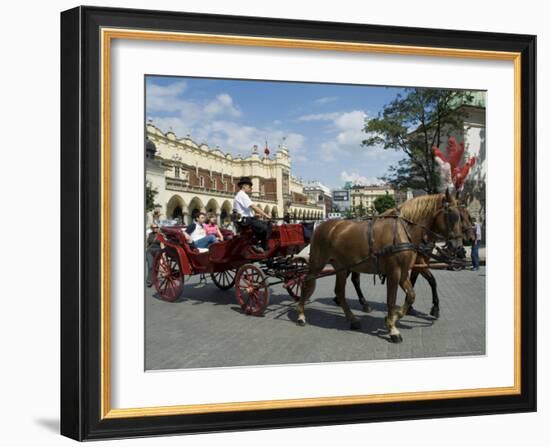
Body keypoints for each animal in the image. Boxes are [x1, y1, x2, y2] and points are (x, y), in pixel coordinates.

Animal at [298, 192, 466, 344]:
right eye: (452, 216)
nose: (458, 248)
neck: (403, 231)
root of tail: (322, 225)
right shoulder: (394, 272)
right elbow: (391, 300)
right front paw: (392, 329)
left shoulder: (403, 273)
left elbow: (411, 295)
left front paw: (394, 317)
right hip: (317, 264)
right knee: (306, 284)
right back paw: (301, 315)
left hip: (342, 267)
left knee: (339, 291)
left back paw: (352, 319)